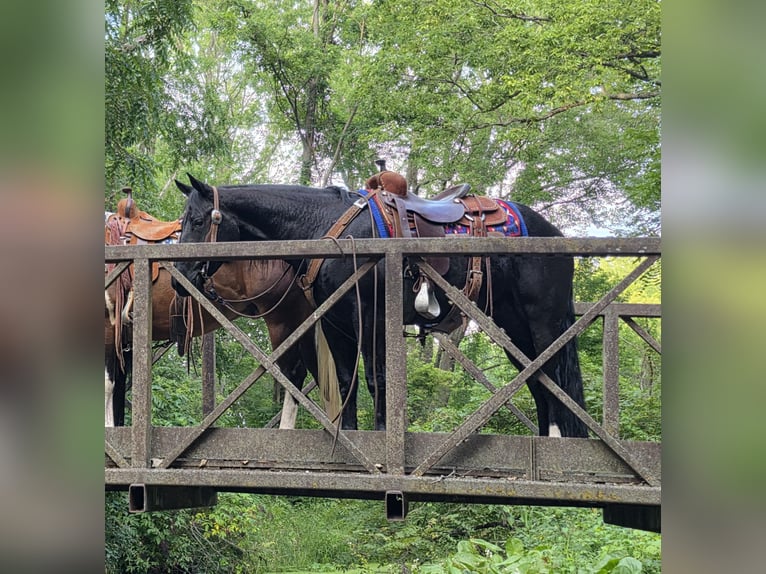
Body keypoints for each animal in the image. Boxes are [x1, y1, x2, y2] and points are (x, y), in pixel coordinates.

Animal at [172, 173, 589, 437]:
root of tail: (554, 233)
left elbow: (376, 378)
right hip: (512, 327)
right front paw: (349, 435)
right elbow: (346, 380)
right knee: (537, 378)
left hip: (544, 320)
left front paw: (381, 434)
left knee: (554, 377)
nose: (178, 279)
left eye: (198, 220)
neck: (328, 229)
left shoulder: (371, 317)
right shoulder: (335, 323)